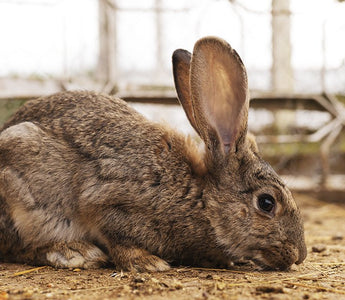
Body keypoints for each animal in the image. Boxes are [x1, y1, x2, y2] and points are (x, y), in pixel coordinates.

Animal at [0, 37, 306, 272]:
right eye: (266, 203)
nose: (299, 255)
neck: (201, 198)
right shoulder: (108, 202)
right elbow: (118, 239)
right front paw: (148, 263)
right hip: (18, 189)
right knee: (21, 247)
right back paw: (75, 252)